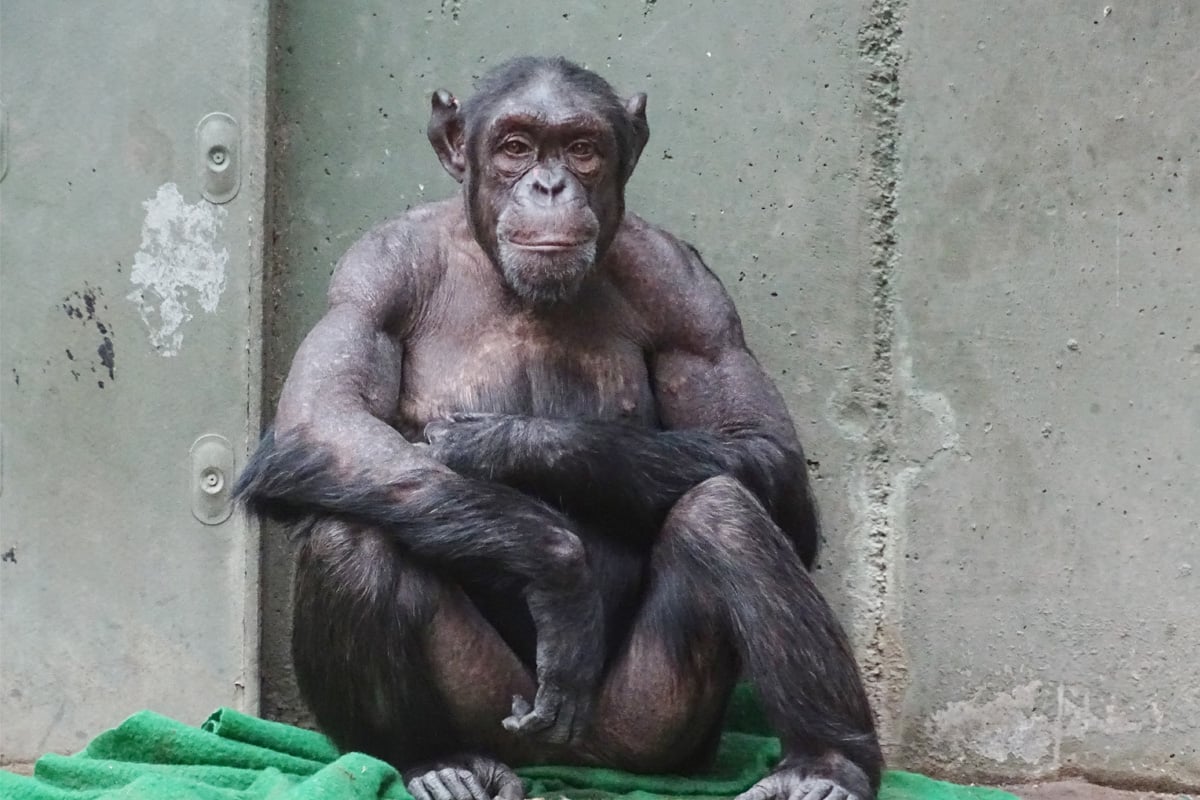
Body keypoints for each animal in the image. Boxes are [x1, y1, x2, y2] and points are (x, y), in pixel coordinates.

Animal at [238, 56, 888, 800]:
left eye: (581, 148)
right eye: (517, 146)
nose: (549, 185)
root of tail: (575, 764)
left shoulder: (692, 294)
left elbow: (766, 452)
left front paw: (500, 445)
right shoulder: (371, 274)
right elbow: (322, 422)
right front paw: (560, 571)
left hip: (653, 728)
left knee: (724, 510)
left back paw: (824, 765)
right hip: (491, 705)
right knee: (352, 531)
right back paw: (434, 762)